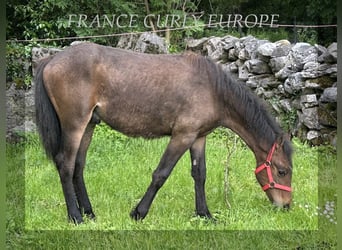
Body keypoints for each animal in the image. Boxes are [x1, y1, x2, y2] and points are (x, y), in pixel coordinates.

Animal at [34, 42, 292, 224]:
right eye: (282, 171)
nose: (287, 206)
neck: (212, 89)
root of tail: (51, 60)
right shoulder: (182, 136)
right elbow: (161, 174)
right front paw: (139, 213)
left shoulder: (198, 137)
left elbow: (200, 174)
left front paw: (204, 214)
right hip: (75, 125)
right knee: (66, 165)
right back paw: (75, 217)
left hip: (89, 125)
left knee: (78, 166)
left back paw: (89, 213)